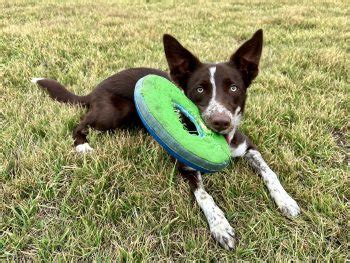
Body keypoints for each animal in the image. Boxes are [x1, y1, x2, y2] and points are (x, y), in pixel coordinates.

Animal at [32, 29, 300, 251]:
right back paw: (82, 145)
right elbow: (204, 196)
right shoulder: (186, 165)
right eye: (200, 90)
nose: (220, 122)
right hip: (112, 113)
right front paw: (220, 226)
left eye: (234, 88)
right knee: (79, 124)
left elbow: (270, 173)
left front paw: (286, 201)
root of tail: (94, 90)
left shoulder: (248, 146)